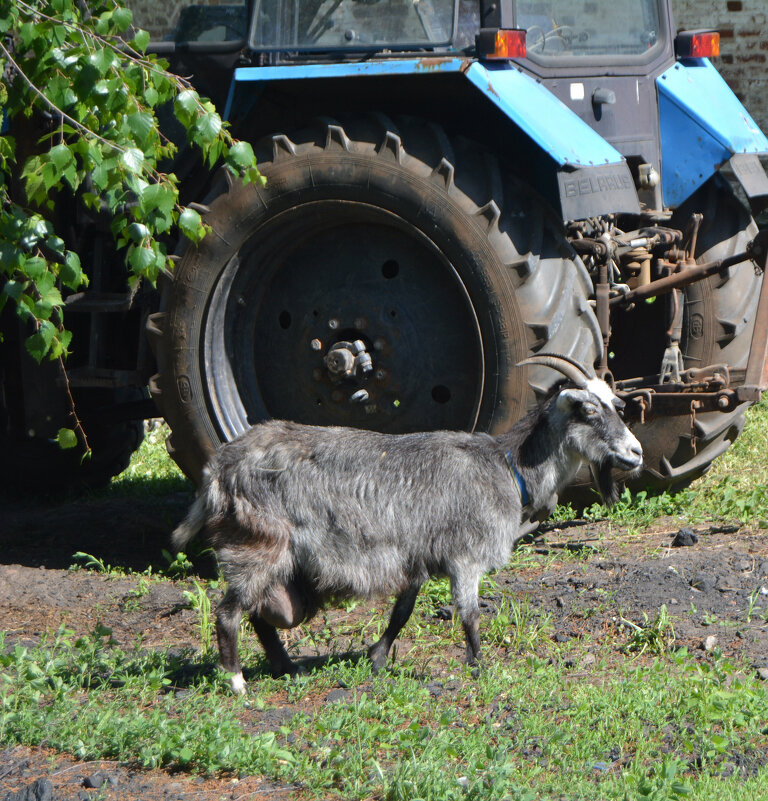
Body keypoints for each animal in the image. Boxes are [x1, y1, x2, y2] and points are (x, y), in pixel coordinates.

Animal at [172, 354, 640, 692]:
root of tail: (217, 469)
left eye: (616, 406)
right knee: (229, 613)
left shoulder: (417, 557)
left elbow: (402, 611)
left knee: (256, 615)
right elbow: (469, 615)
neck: (507, 468)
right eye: (586, 410)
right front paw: (481, 668)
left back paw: (287, 668)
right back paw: (237, 682)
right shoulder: (465, 557)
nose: (635, 453)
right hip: (257, 546)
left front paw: (377, 658)